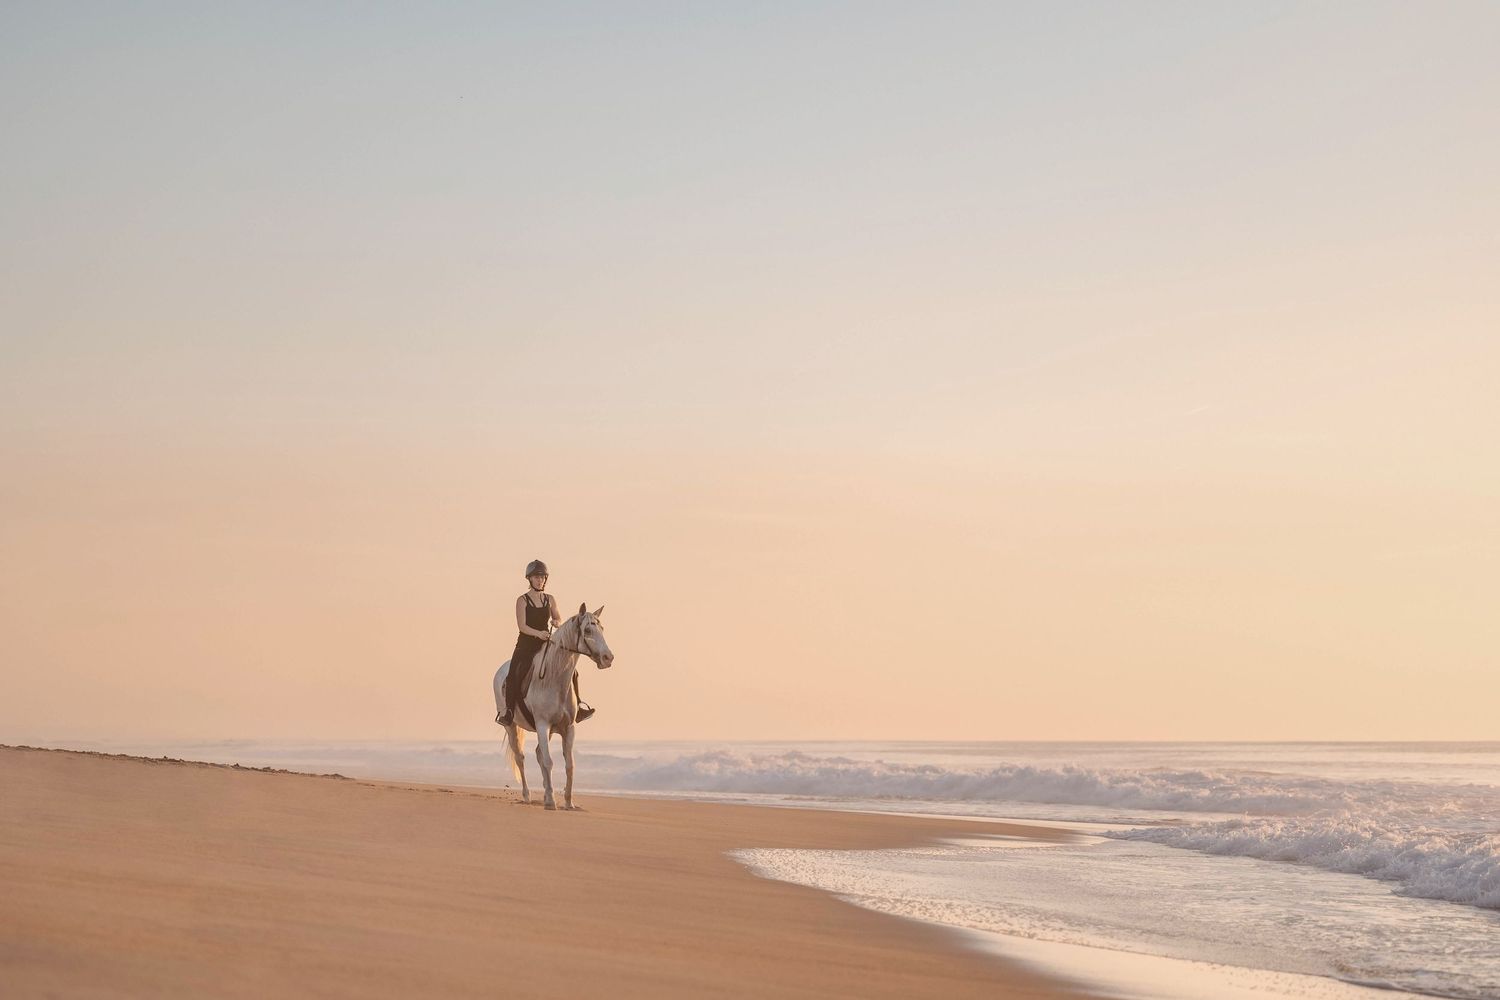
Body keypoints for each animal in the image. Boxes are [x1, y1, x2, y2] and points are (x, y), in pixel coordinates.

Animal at [491, 603, 614, 810]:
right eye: (588, 630)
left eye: (602, 629)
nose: (608, 658)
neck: (554, 679)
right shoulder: (542, 725)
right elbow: (548, 762)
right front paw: (550, 802)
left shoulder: (568, 728)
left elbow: (569, 765)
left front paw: (568, 802)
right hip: (511, 726)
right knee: (520, 758)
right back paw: (527, 796)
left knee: (538, 754)